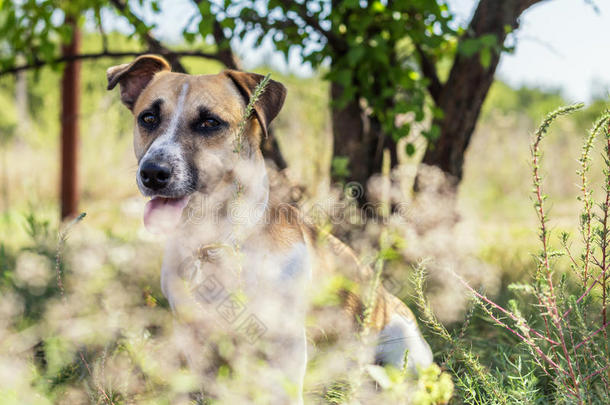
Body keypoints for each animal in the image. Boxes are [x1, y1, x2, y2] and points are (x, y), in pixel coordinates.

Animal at [107, 55, 430, 402]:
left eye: (210, 123)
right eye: (148, 118)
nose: (153, 173)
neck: (216, 243)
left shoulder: (286, 344)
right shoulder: (193, 336)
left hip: (402, 349)